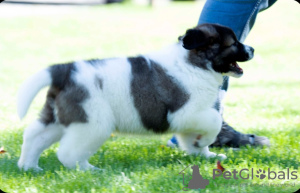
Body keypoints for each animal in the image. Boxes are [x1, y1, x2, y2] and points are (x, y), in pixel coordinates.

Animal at [17, 23, 253, 170]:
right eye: (234, 44)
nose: (252, 49)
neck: (196, 62)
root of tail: (65, 70)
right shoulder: (185, 112)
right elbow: (215, 121)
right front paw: (205, 142)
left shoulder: (191, 117)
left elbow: (191, 138)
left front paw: (204, 155)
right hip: (92, 123)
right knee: (67, 152)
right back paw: (87, 170)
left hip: (59, 117)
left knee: (34, 135)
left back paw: (29, 166)